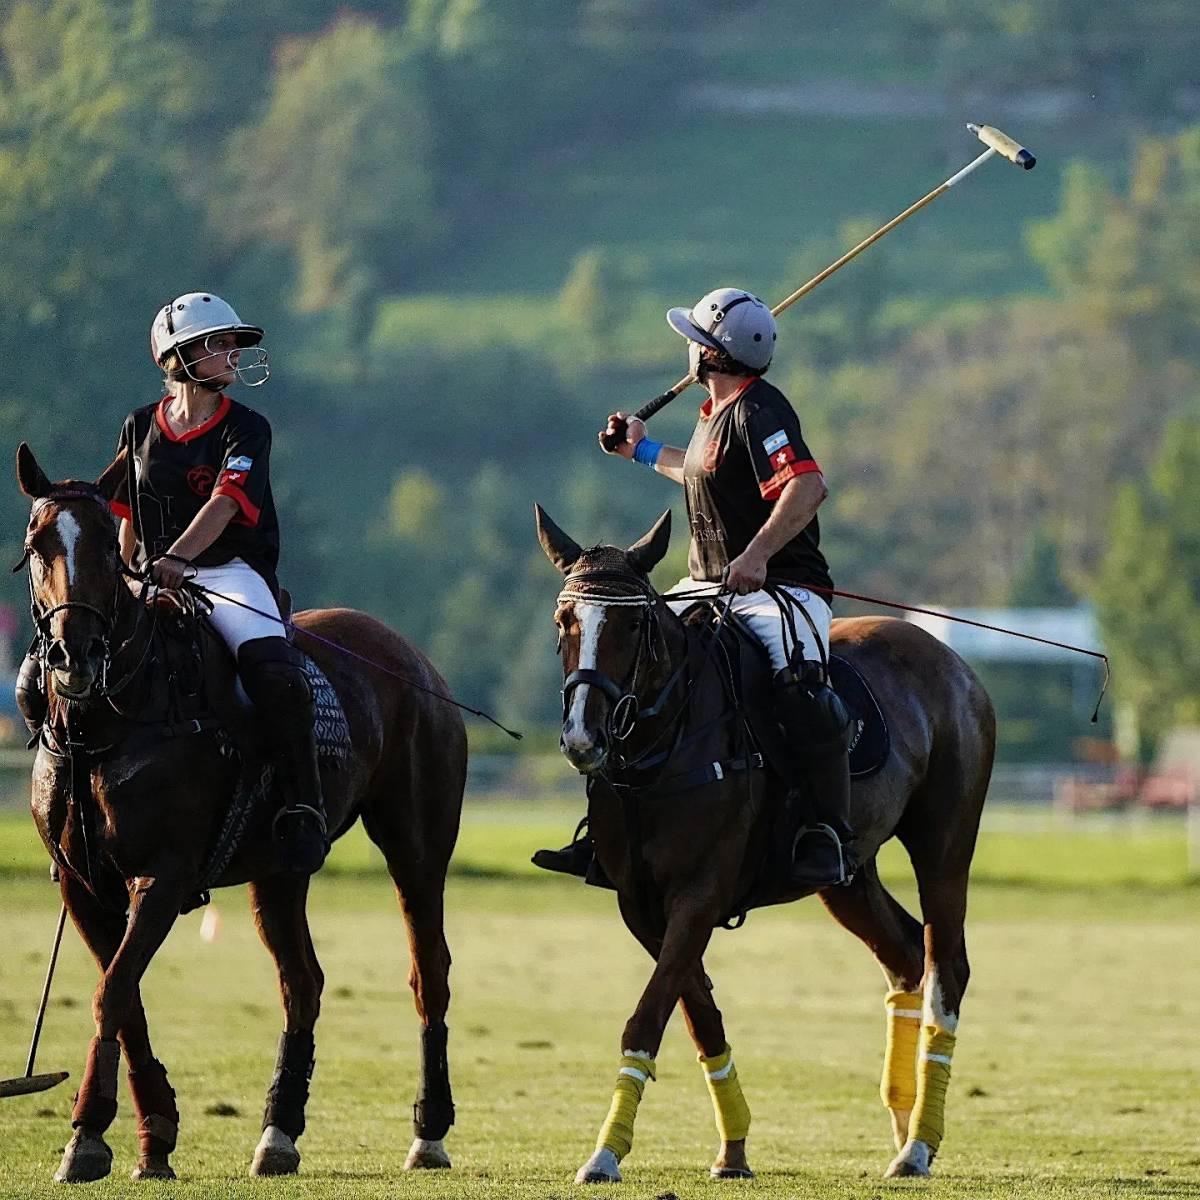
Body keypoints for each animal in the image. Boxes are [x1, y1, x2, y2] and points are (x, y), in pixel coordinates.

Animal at [14, 446, 463, 1185]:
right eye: (35, 544)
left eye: (109, 547)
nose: (74, 654)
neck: (111, 721)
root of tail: (416, 656)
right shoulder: (83, 886)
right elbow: (123, 995)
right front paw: (148, 1135)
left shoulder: (163, 875)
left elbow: (114, 991)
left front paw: (88, 1137)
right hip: (277, 871)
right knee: (302, 982)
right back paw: (278, 1133)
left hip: (417, 846)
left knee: (429, 973)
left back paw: (428, 1134)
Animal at [540, 504, 998, 1180]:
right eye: (564, 620)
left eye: (634, 622)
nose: (583, 738)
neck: (663, 748)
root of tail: (956, 664)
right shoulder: (641, 905)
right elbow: (699, 1016)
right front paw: (732, 1149)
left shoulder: (699, 894)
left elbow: (647, 1017)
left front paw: (603, 1154)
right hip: (848, 872)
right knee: (905, 953)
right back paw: (901, 1123)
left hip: (944, 840)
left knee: (947, 967)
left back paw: (919, 1144)